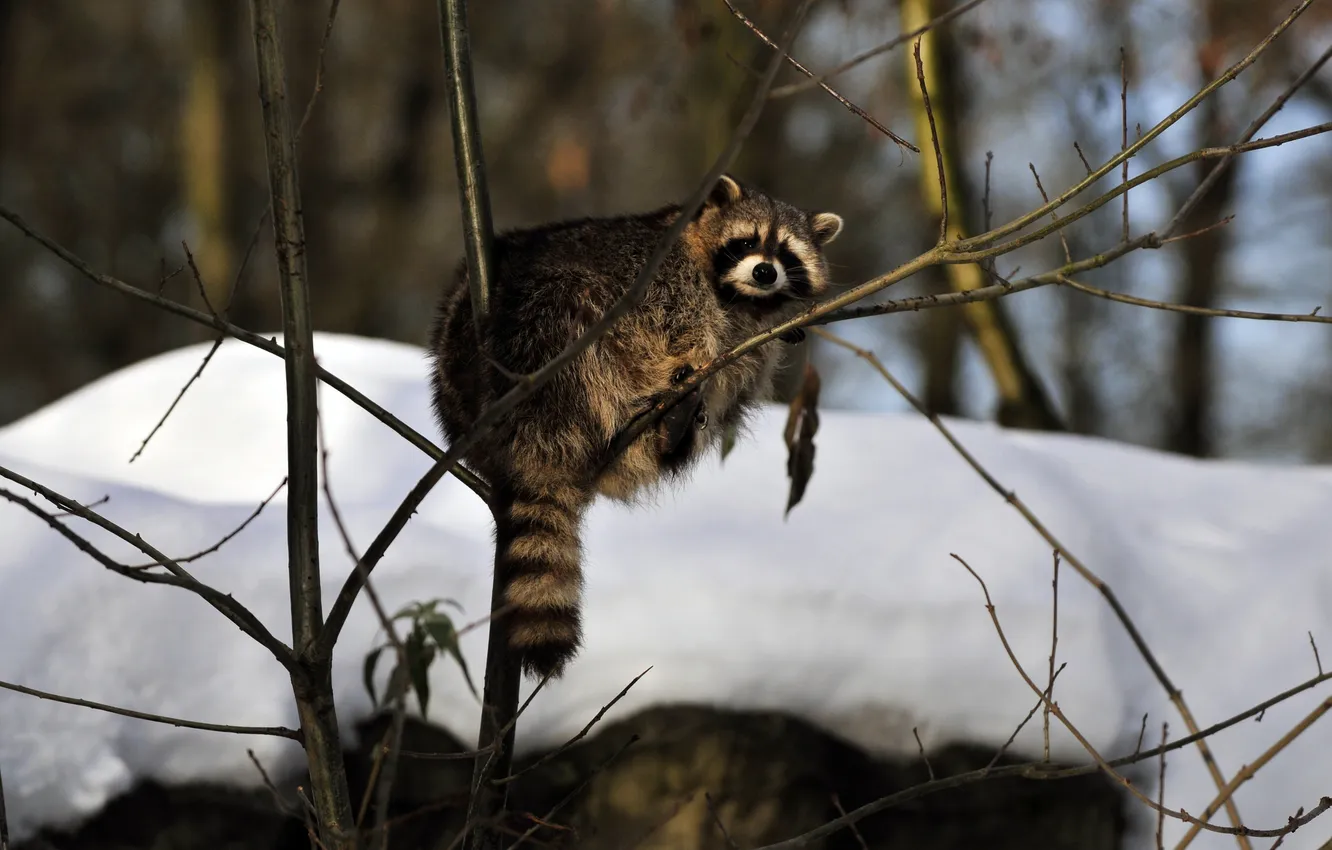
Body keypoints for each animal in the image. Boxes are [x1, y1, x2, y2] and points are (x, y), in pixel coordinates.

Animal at [428, 174, 843, 679]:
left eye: (786, 252)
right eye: (747, 241)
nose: (765, 273)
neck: (736, 296)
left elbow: (747, 354)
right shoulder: (663, 275)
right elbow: (677, 325)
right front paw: (690, 354)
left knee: (736, 386)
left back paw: (675, 430)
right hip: (549, 338)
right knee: (576, 311)